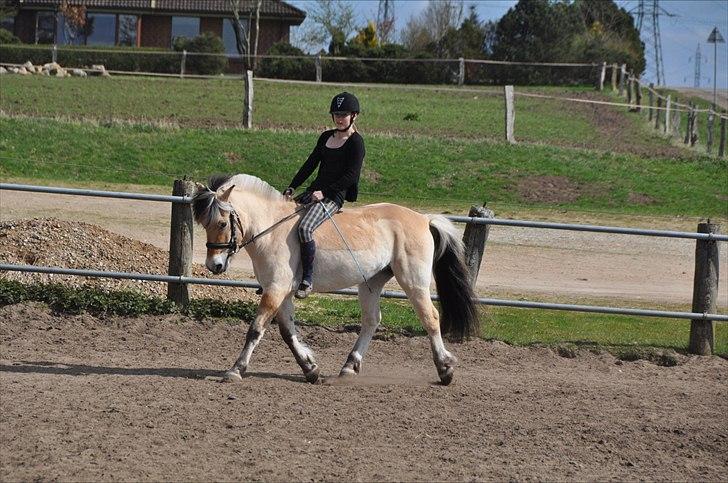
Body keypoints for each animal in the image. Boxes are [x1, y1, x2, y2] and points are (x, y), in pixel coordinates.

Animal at [191, 174, 480, 386]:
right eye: (204, 224)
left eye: (221, 223)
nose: (214, 266)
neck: (271, 230)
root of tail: (423, 218)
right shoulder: (282, 291)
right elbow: (287, 332)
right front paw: (310, 369)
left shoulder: (276, 289)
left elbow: (256, 329)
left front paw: (235, 370)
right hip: (371, 282)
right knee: (371, 321)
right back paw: (349, 367)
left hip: (413, 281)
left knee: (430, 317)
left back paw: (444, 370)